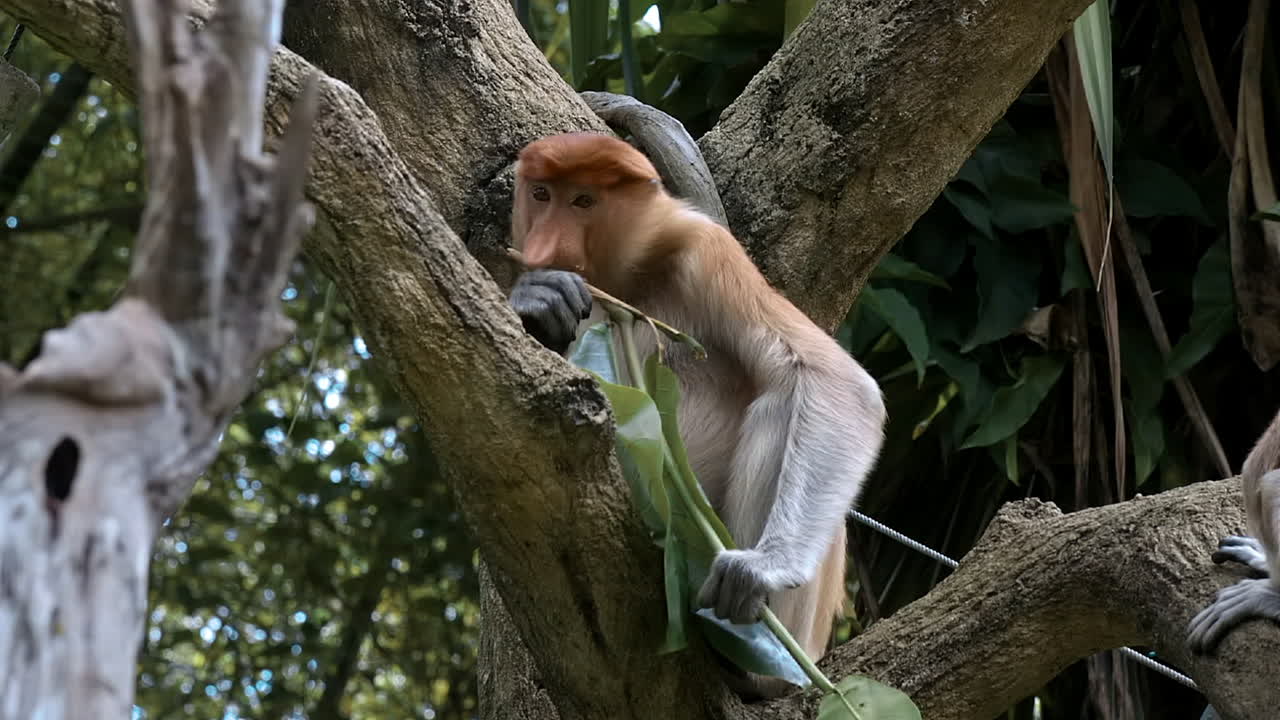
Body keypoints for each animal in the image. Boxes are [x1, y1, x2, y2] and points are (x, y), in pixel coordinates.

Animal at [507, 132, 886, 695]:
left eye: (584, 201)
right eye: (540, 194)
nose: (541, 251)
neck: (630, 280)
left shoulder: (707, 252)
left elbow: (833, 379)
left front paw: (764, 568)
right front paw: (537, 301)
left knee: (781, 402)